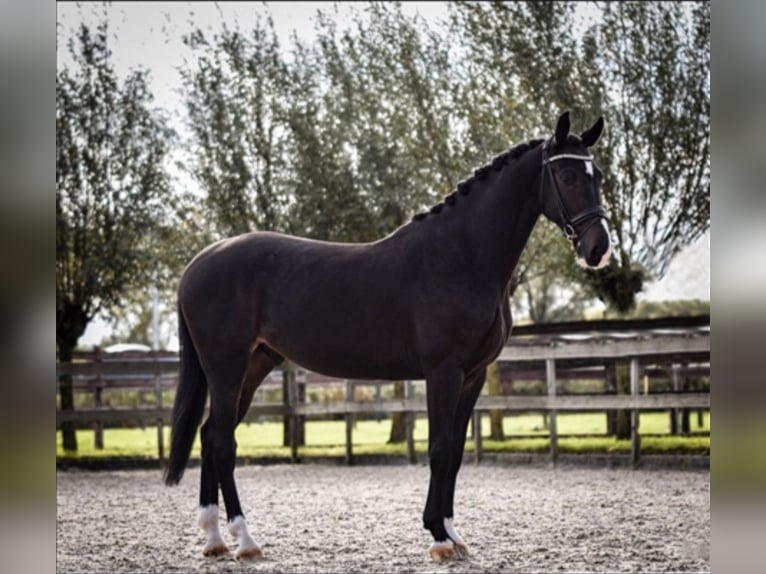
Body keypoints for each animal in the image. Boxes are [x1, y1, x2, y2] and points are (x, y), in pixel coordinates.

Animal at [163, 111, 612, 562]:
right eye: (567, 176)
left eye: (598, 176)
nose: (598, 249)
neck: (462, 256)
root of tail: (198, 264)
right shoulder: (443, 373)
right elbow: (439, 450)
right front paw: (438, 537)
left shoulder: (473, 376)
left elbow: (455, 453)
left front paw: (453, 534)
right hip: (227, 368)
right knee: (223, 443)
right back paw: (245, 540)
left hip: (254, 365)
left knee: (210, 435)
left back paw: (214, 539)